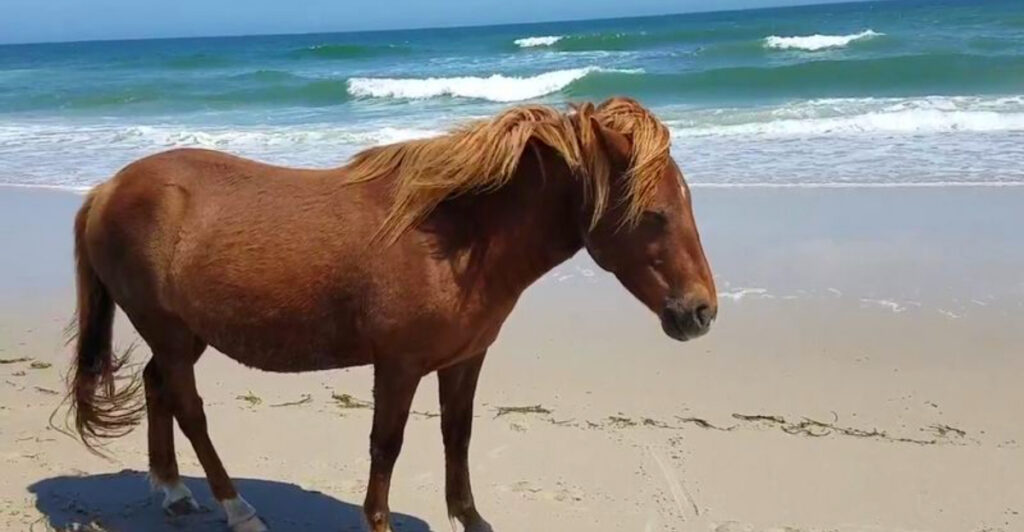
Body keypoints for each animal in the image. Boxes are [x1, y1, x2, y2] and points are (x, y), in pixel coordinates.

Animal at [65, 97, 716, 532]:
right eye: (655, 214)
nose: (701, 311)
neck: (455, 239)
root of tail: (107, 189)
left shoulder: (465, 360)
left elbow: (458, 436)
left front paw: (470, 518)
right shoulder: (398, 366)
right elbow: (387, 444)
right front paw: (377, 521)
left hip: (185, 334)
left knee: (157, 387)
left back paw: (173, 491)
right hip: (171, 333)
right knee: (190, 409)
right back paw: (237, 508)